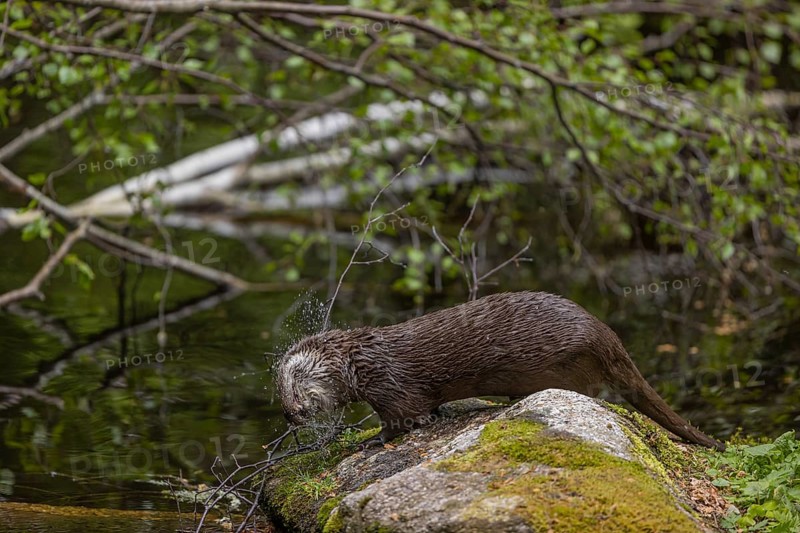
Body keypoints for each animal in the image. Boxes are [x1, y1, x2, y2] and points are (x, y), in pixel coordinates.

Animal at [276, 291, 725, 451]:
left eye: (293, 388)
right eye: (279, 397)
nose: (289, 415)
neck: (361, 361)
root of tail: (603, 332)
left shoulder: (390, 387)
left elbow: (403, 419)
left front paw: (369, 442)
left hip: (569, 364)